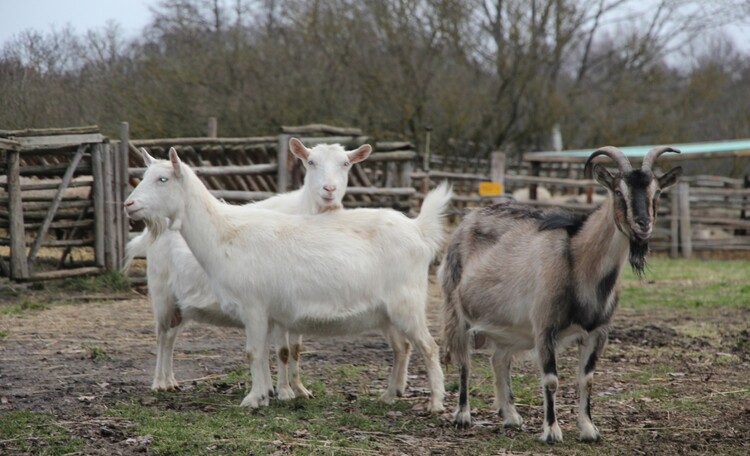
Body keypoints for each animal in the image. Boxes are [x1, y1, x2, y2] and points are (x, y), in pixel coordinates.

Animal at [125, 148, 452, 412]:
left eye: (162, 179)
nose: (129, 204)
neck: (225, 234)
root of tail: (419, 230)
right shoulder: (269, 314)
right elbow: (268, 354)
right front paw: (266, 394)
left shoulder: (254, 306)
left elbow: (254, 352)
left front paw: (253, 399)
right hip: (387, 312)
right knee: (402, 347)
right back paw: (388, 396)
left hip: (406, 302)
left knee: (428, 347)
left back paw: (435, 404)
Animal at [444, 145, 684, 442]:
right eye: (618, 191)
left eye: (658, 192)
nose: (643, 224)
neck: (578, 261)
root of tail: (467, 218)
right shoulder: (545, 328)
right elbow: (551, 380)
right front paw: (551, 431)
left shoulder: (597, 333)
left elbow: (587, 379)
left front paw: (589, 430)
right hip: (456, 310)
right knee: (463, 361)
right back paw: (463, 416)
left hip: (506, 325)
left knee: (499, 360)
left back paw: (511, 417)